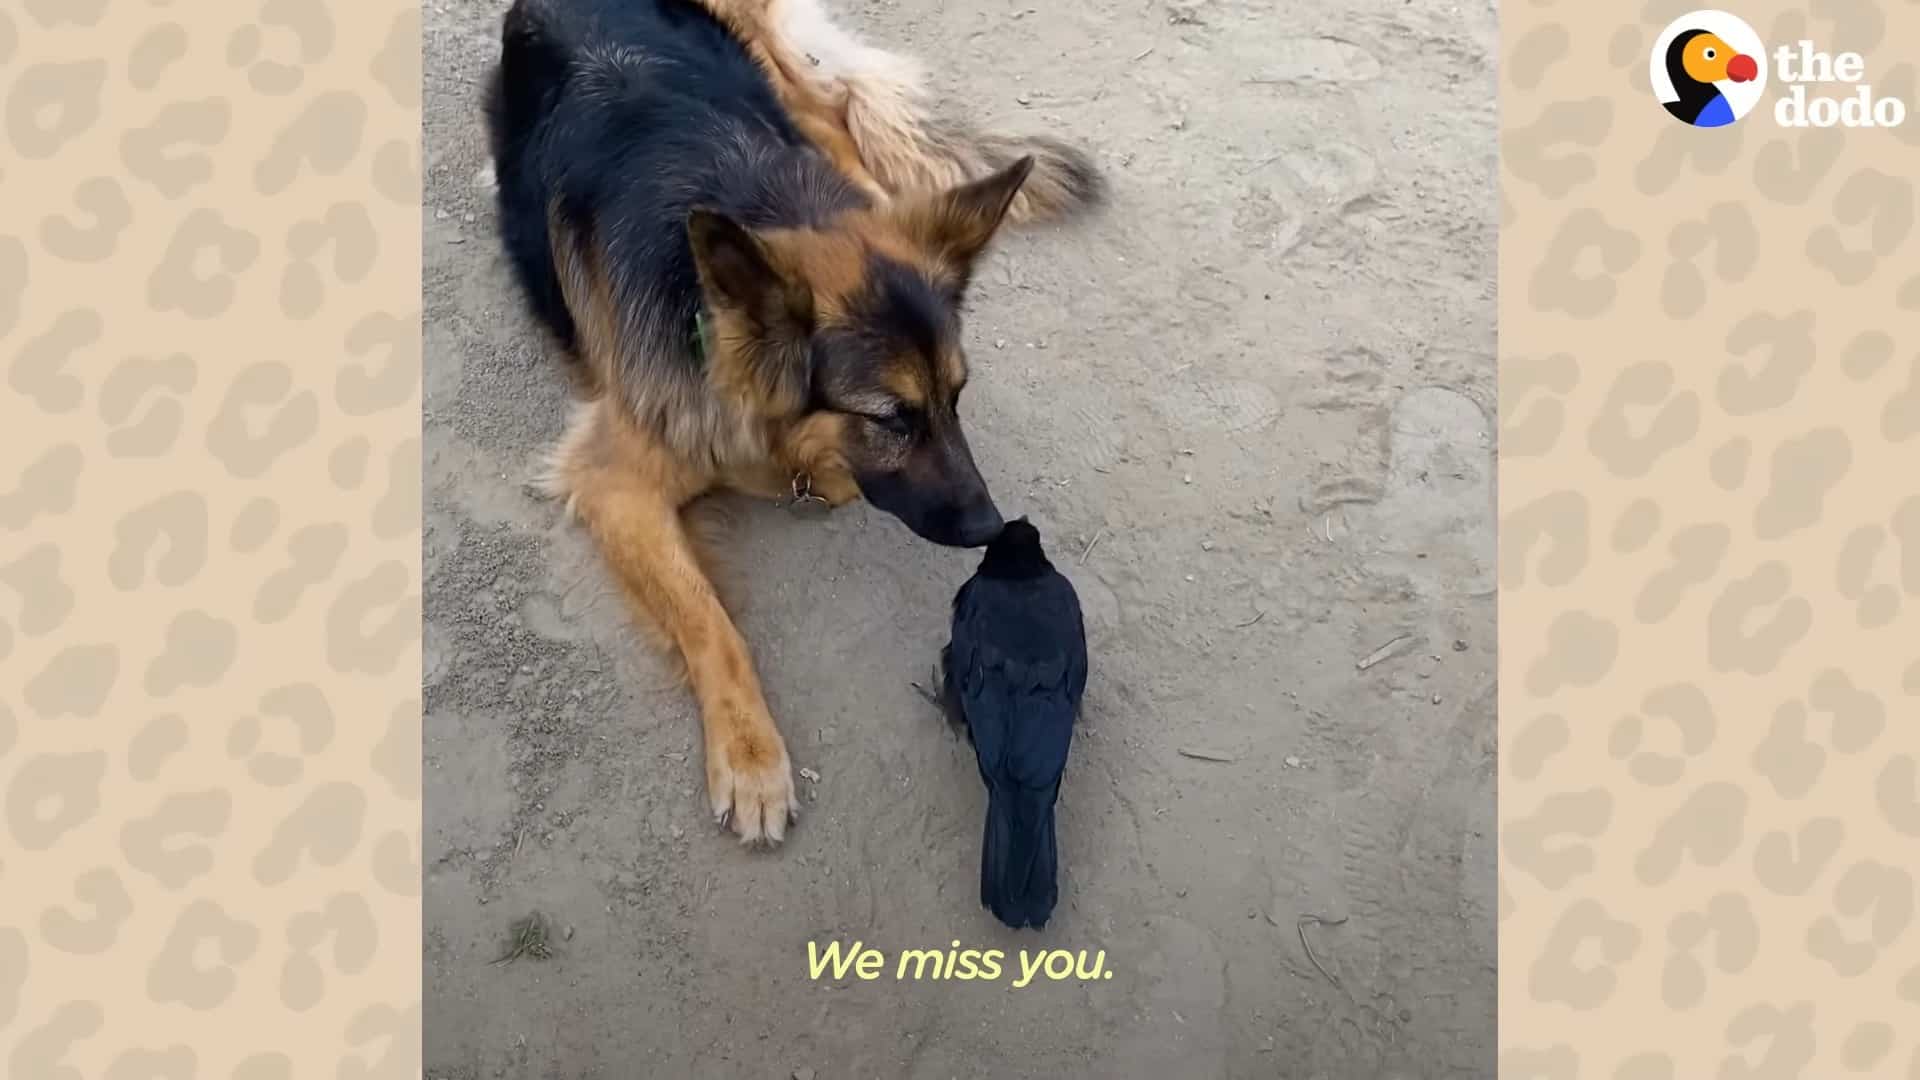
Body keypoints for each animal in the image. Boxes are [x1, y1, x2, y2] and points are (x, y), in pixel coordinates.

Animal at [487, 0, 1105, 841]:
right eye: (893, 416)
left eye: (957, 396)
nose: (991, 528)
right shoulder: (612, 479)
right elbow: (709, 620)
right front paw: (750, 759)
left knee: (835, 111)